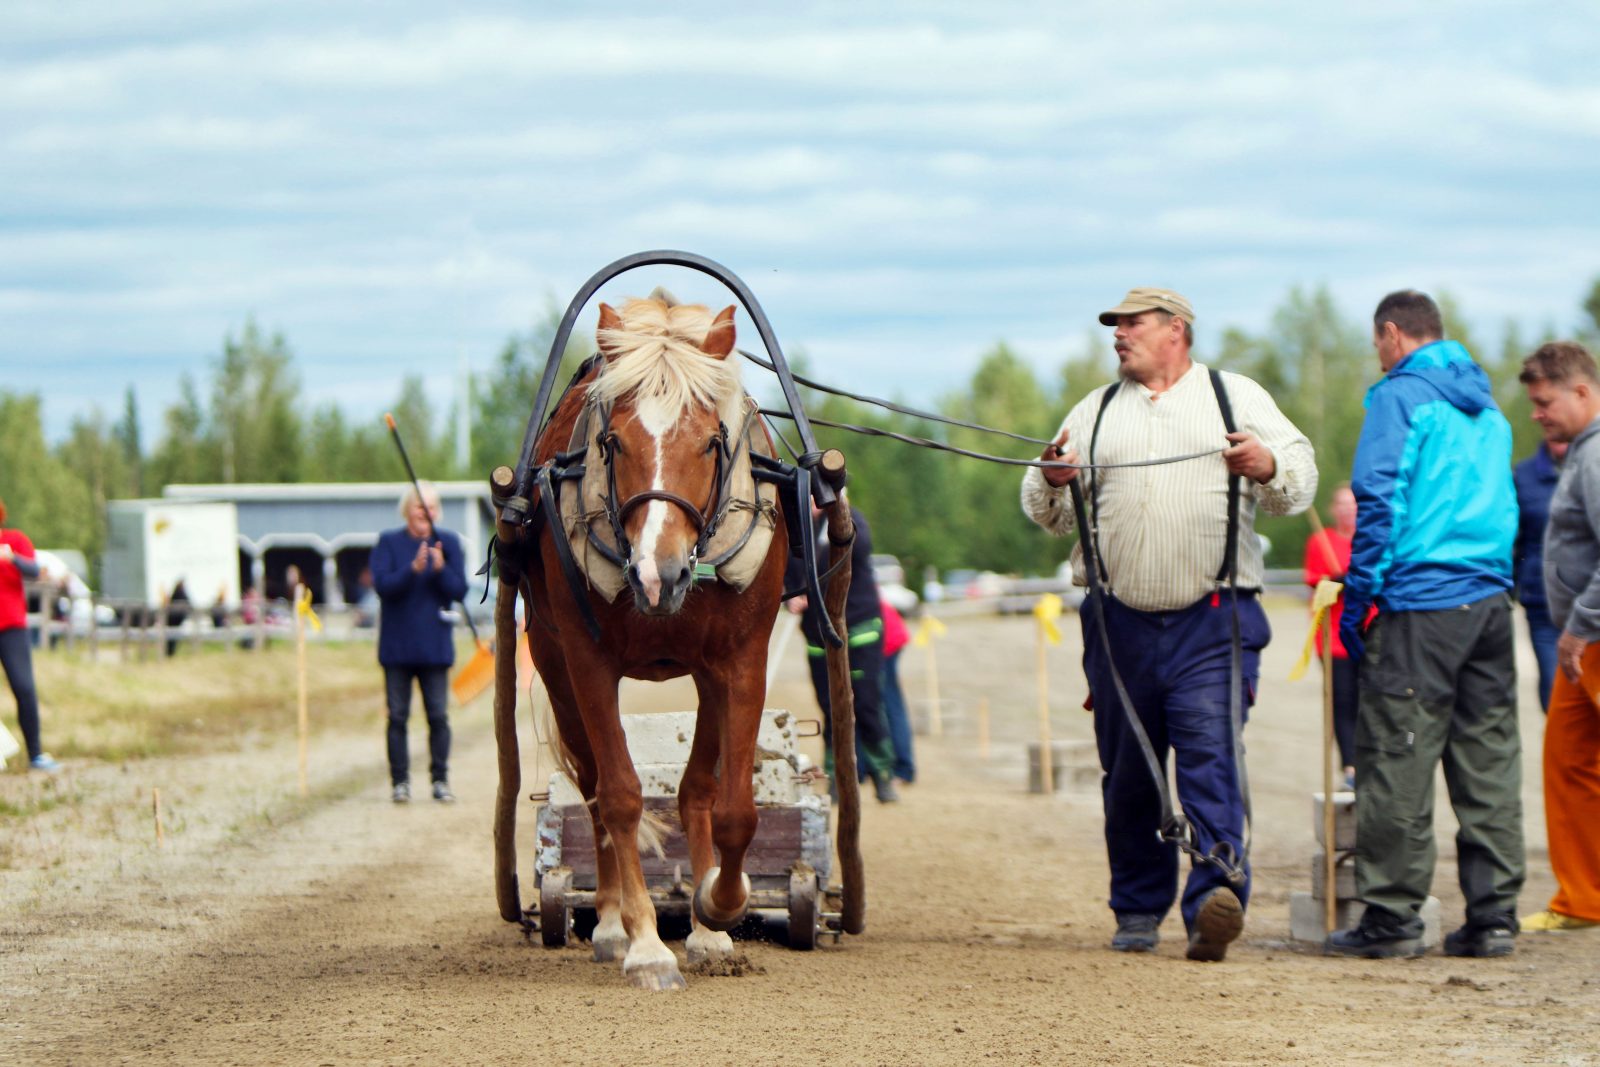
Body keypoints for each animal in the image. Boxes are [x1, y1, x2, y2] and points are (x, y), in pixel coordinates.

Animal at [505, 294, 787, 991]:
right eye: (612, 442)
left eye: (711, 441)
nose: (660, 574)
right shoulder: (588, 663)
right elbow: (621, 795)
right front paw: (646, 945)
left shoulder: (739, 661)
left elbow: (730, 805)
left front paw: (717, 908)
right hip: (554, 665)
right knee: (592, 787)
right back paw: (609, 923)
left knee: (695, 791)